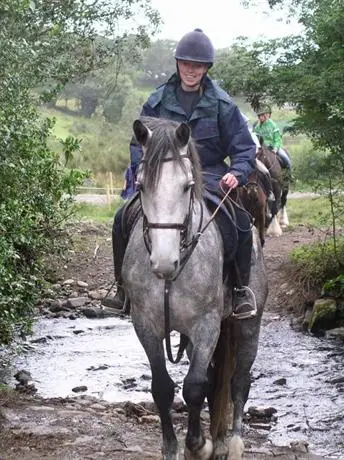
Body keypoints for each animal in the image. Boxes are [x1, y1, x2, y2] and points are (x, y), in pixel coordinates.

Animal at [121, 117, 268, 460]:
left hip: (247, 326)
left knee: (239, 381)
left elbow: (194, 386)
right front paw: (174, 448)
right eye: (142, 186)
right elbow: (163, 387)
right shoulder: (146, 325)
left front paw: (198, 446)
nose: (164, 262)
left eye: (187, 186)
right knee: (217, 380)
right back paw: (221, 441)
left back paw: (235, 443)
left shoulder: (206, 326)